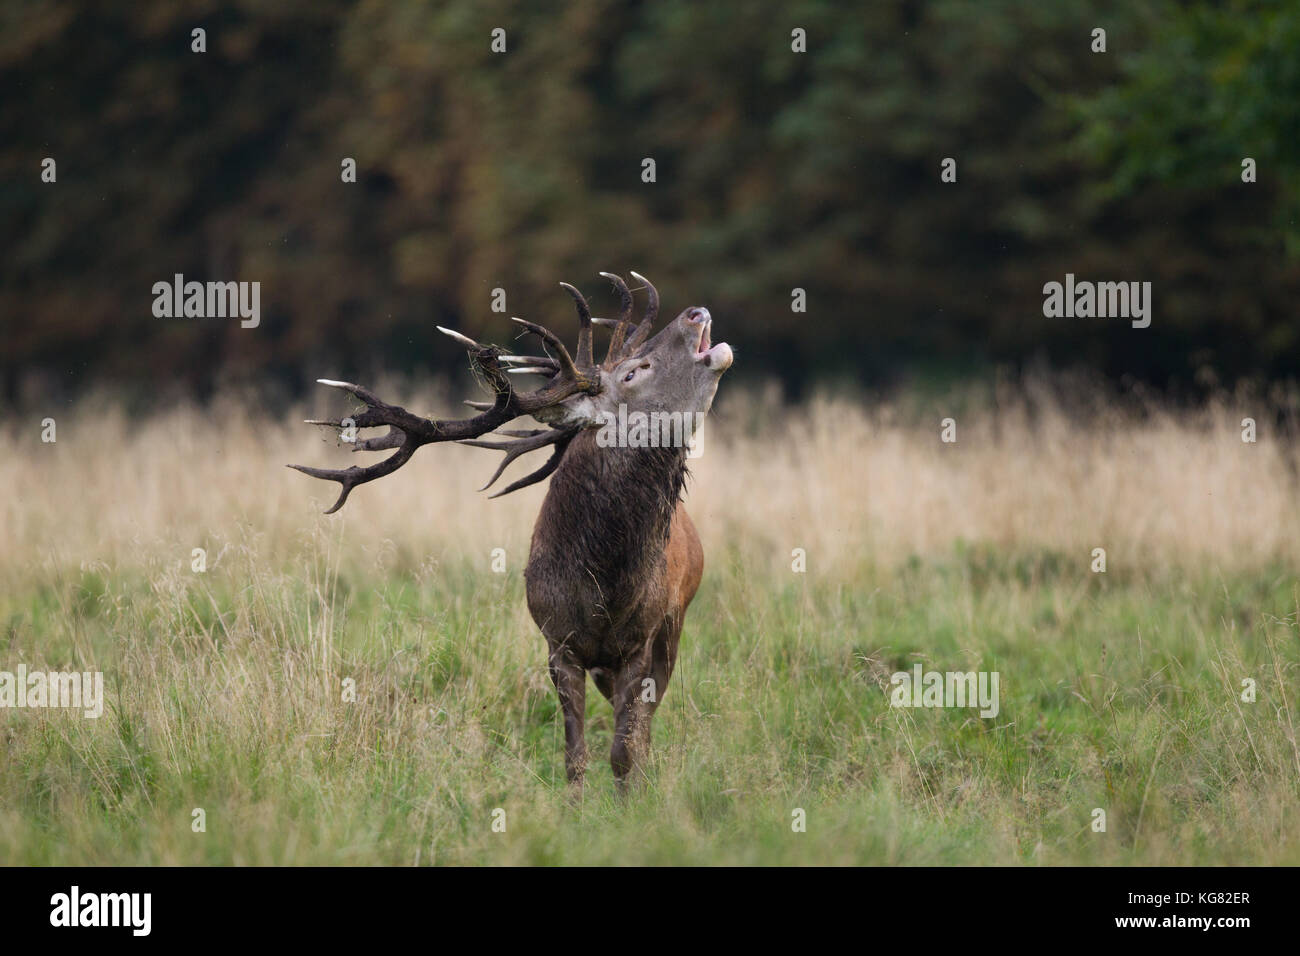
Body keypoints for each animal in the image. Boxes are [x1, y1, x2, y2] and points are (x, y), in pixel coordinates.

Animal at [289, 273, 733, 790]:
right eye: (630, 373)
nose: (695, 313)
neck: (606, 585)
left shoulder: (641, 640)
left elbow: (625, 750)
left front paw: (632, 798)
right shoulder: (557, 642)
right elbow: (575, 756)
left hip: (674, 625)